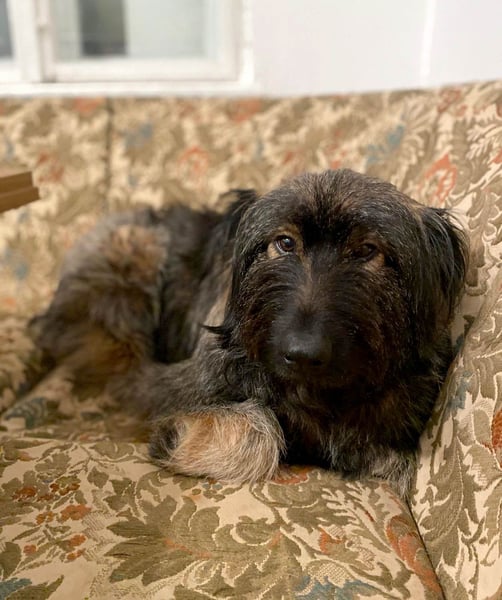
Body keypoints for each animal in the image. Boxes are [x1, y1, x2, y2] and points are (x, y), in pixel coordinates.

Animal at [32, 169, 468, 497]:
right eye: (285, 242)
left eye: (366, 251)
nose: (302, 353)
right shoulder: (171, 388)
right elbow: (260, 430)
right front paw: (187, 440)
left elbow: (395, 465)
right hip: (134, 257)